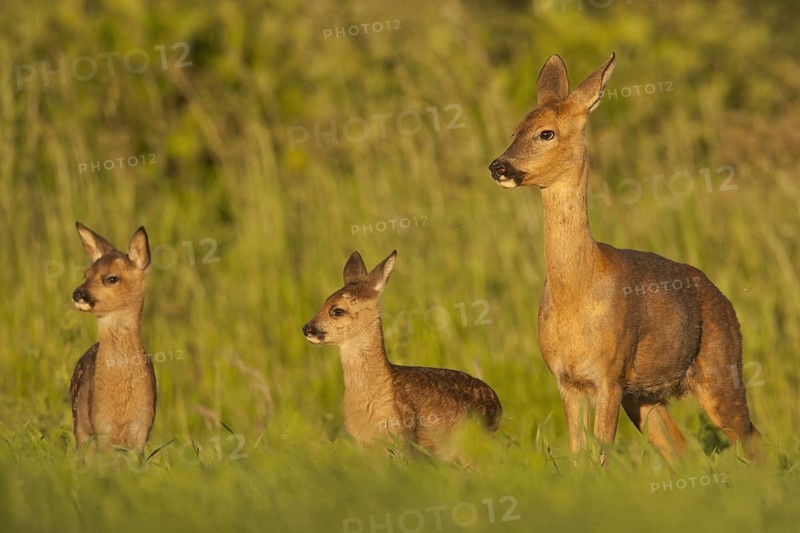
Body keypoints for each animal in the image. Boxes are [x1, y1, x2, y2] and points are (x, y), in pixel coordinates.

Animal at [70, 222, 156, 456]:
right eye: (86, 274)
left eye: (112, 278)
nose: (78, 293)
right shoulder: (100, 424)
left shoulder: (142, 426)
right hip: (79, 423)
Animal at [488, 53, 760, 466]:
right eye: (514, 130)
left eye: (546, 133)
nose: (498, 166)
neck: (578, 292)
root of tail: (724, 298)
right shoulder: (566, 378)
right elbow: (578, 454)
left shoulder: (609, 375)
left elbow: (600, 454)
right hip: (644, 396)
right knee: (679, 447)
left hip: (720, 366)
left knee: (750, 437)